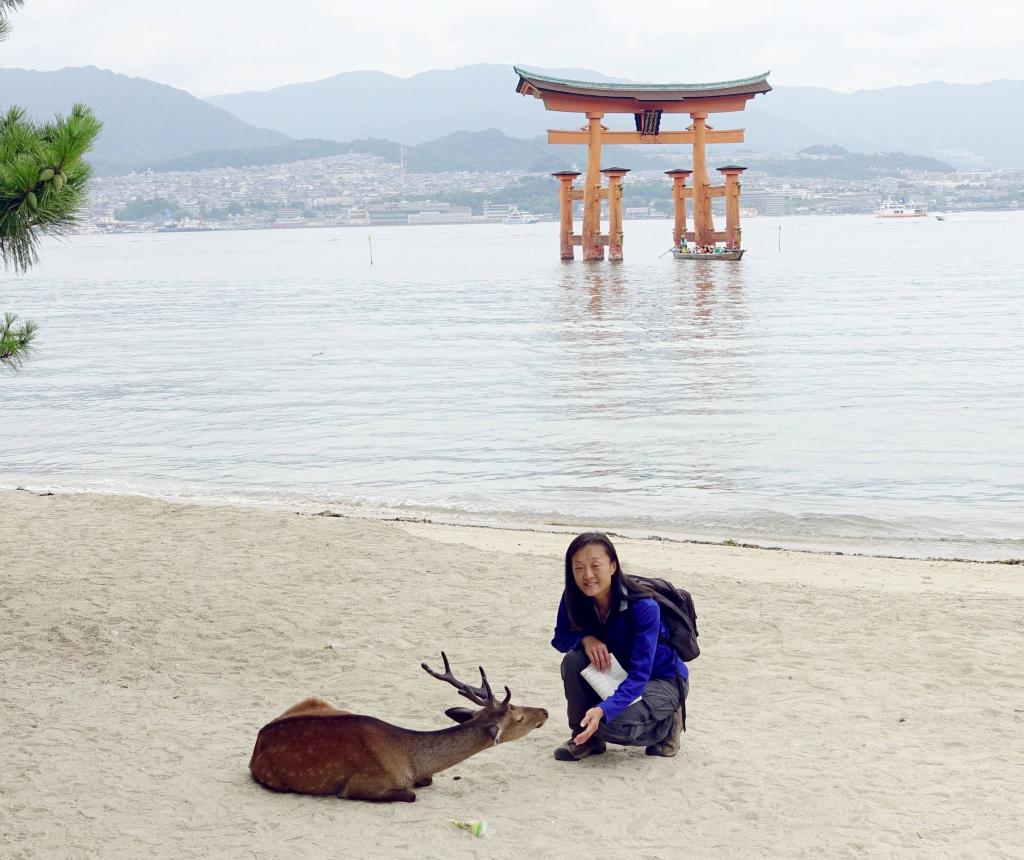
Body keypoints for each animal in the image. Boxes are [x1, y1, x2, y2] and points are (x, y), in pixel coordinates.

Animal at [248, 655, 548, 802]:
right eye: (519, 716)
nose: (544, 711)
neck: (410, 761)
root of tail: (258, 739)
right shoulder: (363, 785)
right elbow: (411, 794)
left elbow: (426, 780)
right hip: (278, 781)